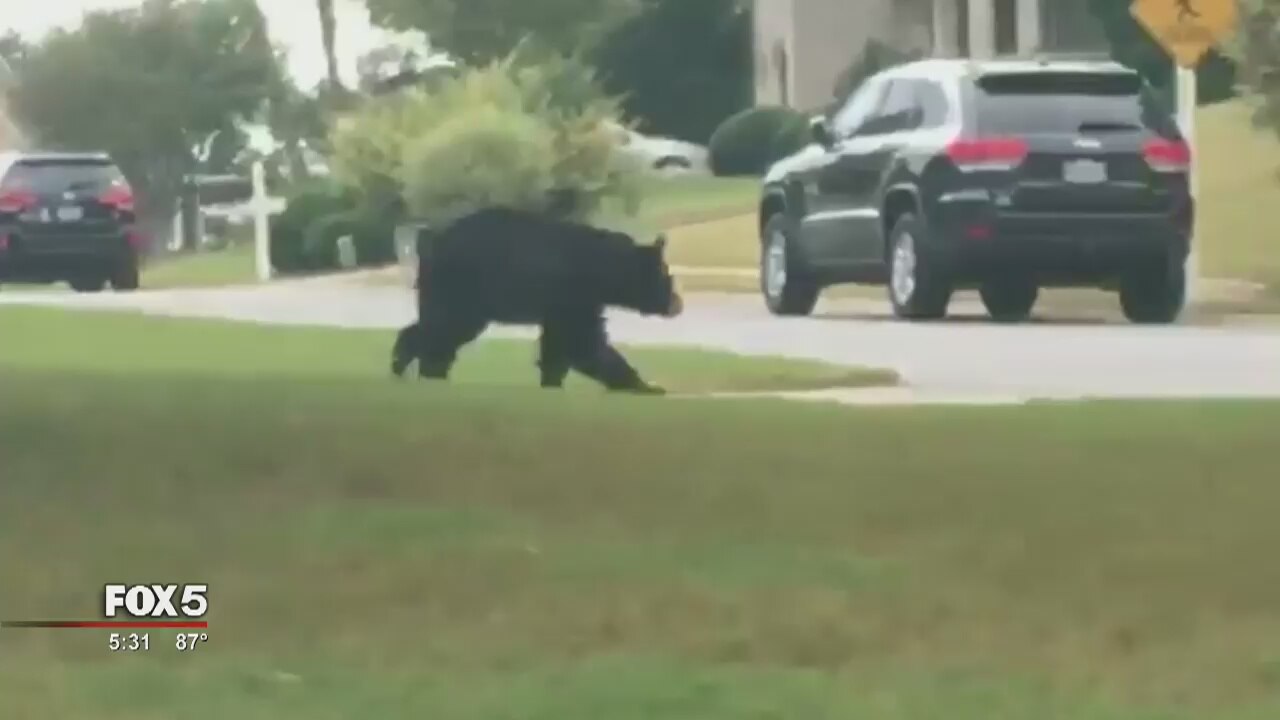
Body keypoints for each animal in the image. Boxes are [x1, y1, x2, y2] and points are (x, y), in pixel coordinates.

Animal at [390, 207, 684, 394]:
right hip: (463, 285)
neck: (604, 269)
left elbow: (559, 343)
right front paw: (645, 385)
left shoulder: (569, 303)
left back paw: (410, 365)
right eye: (668, 277)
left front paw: (551, 380)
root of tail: (431, 239)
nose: (678, 304)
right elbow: (583, 342)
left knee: (438, 325)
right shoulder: (574, 294)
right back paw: (425, 370)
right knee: (447, 326)